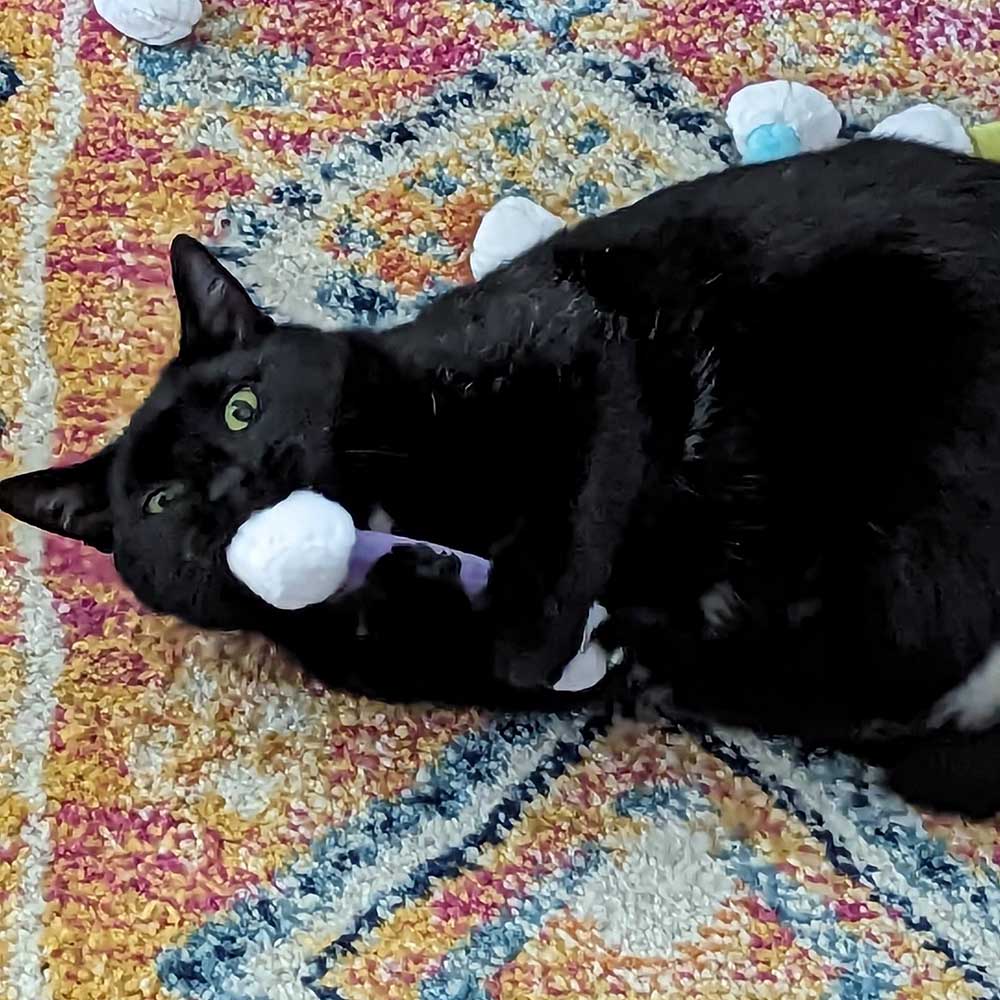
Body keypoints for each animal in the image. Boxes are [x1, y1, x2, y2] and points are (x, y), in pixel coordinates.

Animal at [5, 139, 1000, 812]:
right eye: (162, 502)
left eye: (242, 409)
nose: (232, 485)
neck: (390, 504)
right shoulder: (389, 660)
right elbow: (470, 654)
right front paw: (432, 591)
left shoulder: (573, 339)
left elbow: (569, 522)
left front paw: (534, 623)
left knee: (890, 681)